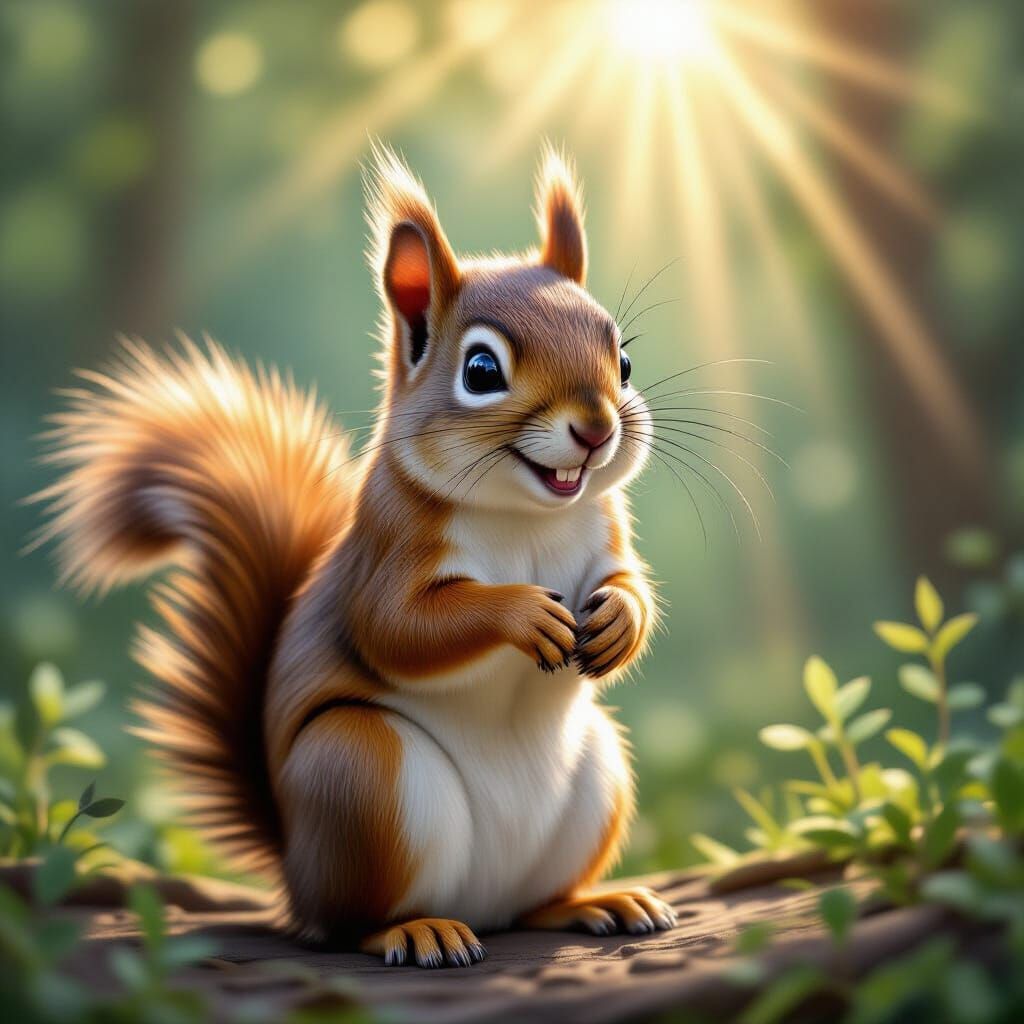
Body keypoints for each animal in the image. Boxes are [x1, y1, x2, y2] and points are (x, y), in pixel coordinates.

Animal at [36, 144, 675, 968]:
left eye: (621, 360)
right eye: (481, 372)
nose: (596, 430)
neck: (524, 515)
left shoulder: (605, 531)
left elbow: (628, 583)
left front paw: (620, 620)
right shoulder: (387, 546)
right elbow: (399, 628)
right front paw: (522, 614)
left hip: (598, 777)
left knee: (534, 903)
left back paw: (594, 901)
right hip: (361, 777)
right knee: (347, 924)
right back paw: (416, 929)